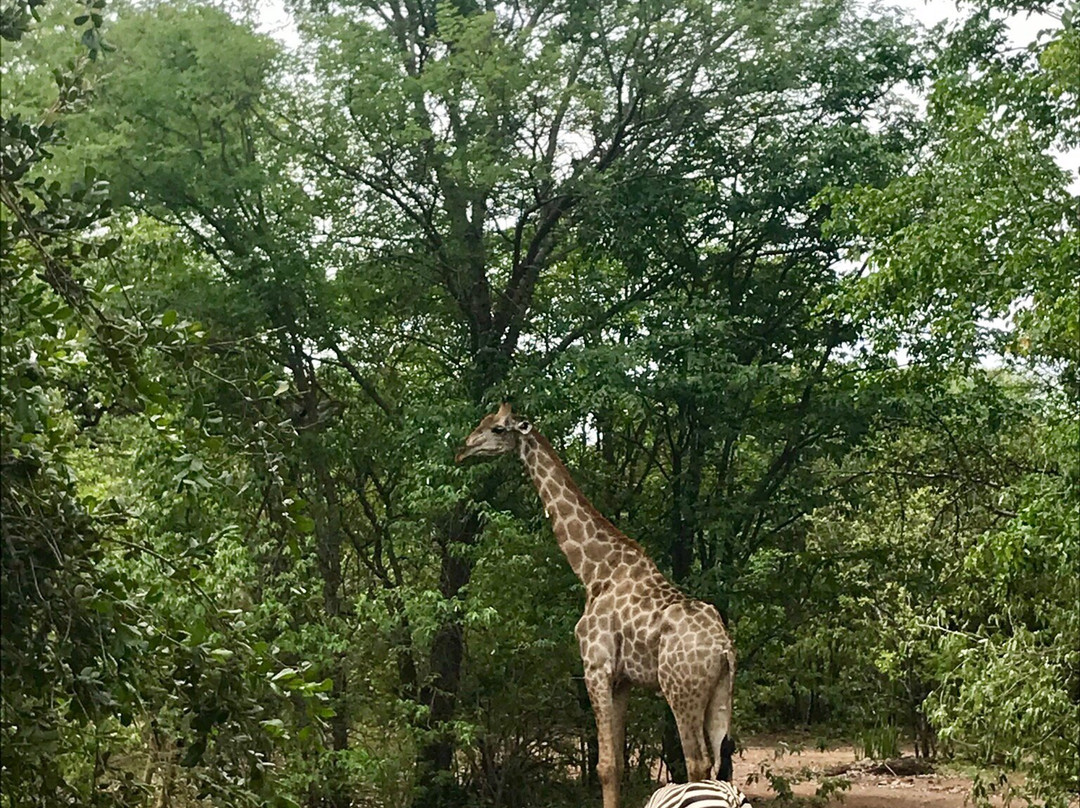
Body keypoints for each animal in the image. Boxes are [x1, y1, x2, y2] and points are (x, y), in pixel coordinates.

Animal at [455, 401, 734, 808]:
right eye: (483, 422)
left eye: (498, 428)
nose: (463, 448)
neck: (593, 570)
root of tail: (723, 649)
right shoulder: (621, 680)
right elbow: (615, 763)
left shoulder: (596, 666)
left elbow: (605, 767)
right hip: (720, 693)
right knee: (718, 763)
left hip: (681, 689)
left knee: (696, 761)